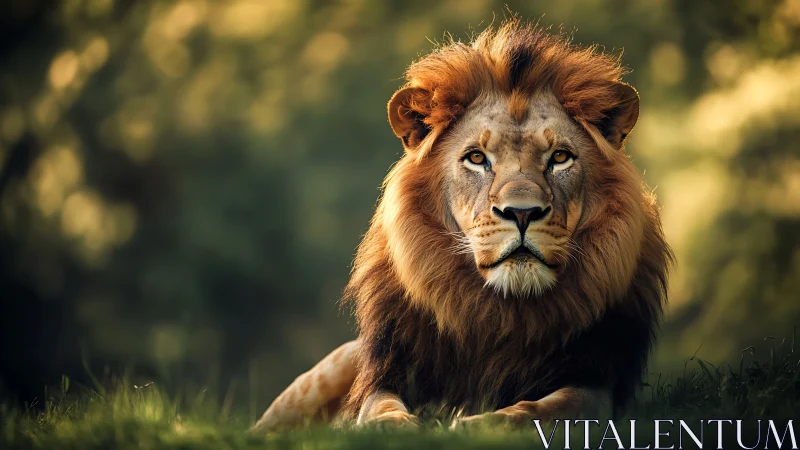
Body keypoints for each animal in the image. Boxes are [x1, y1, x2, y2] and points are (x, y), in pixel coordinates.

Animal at [253, 18, 672, 432]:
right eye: (476, 158)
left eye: (560, 157)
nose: (522, 213)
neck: (504, 310)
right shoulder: (387, 375)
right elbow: (377, 409)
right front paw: (396, 426)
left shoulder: (598, 386)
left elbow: (545, 409)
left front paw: (476, 422)